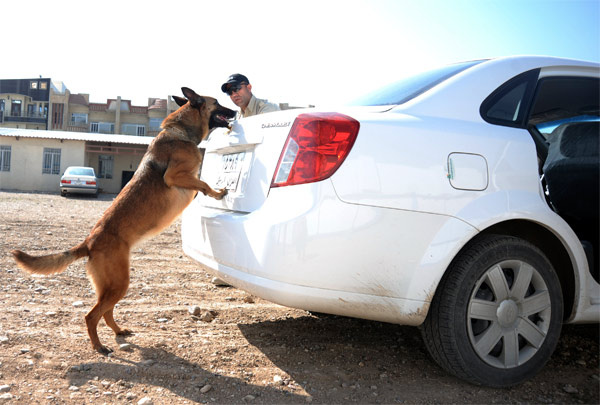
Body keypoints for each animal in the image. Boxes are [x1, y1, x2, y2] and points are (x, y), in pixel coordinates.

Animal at [11, 87, 237, 352]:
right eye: (217, 102)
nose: (235, 111)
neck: (181, 133)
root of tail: (88, 243)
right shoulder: (175, 176)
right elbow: (203, 183)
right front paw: (218, 192)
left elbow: (200, 184)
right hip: (119, 283)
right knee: (92, 315)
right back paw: (99, 346)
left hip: (113, 285)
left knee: (106, 313)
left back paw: (119, 331)